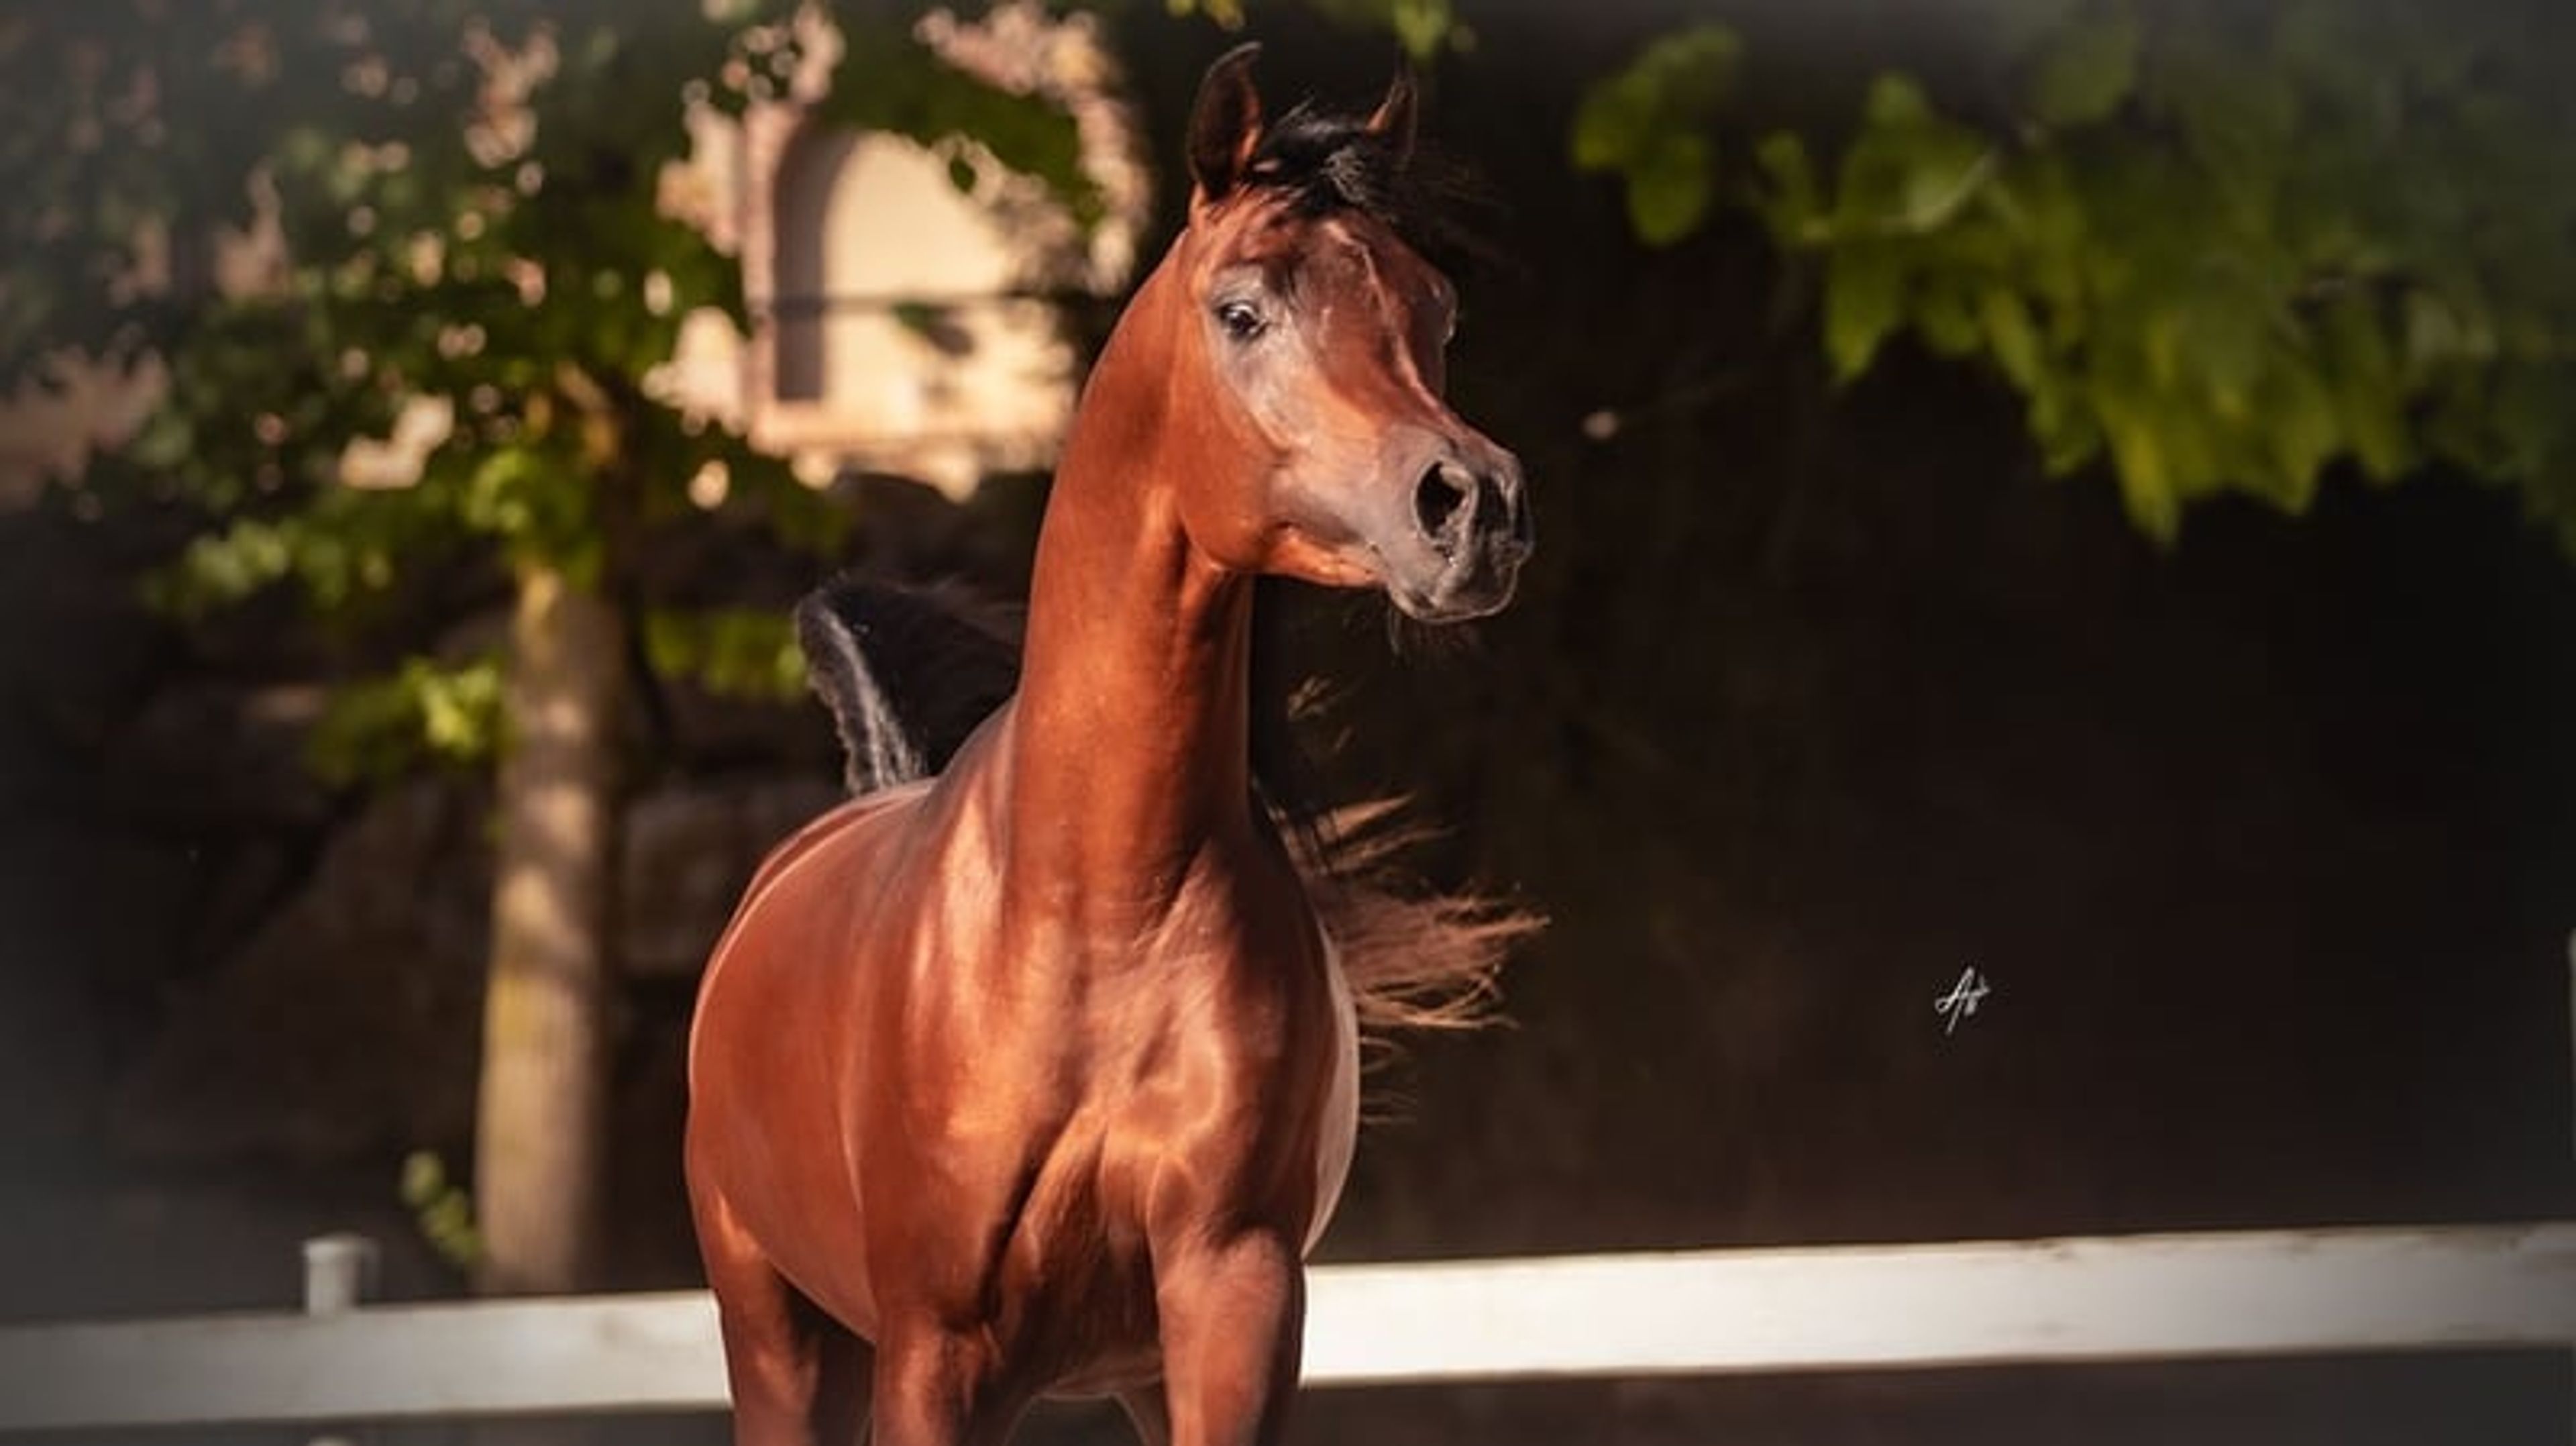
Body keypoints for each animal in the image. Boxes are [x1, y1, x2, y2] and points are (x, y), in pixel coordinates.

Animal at [684, 44, 1532, 1446]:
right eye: (1242, 311)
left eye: (1438, 310)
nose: (1473, 509)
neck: (1094, 904)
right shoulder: (935, 1349)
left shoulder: (1229, 1305)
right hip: (775, 1331)